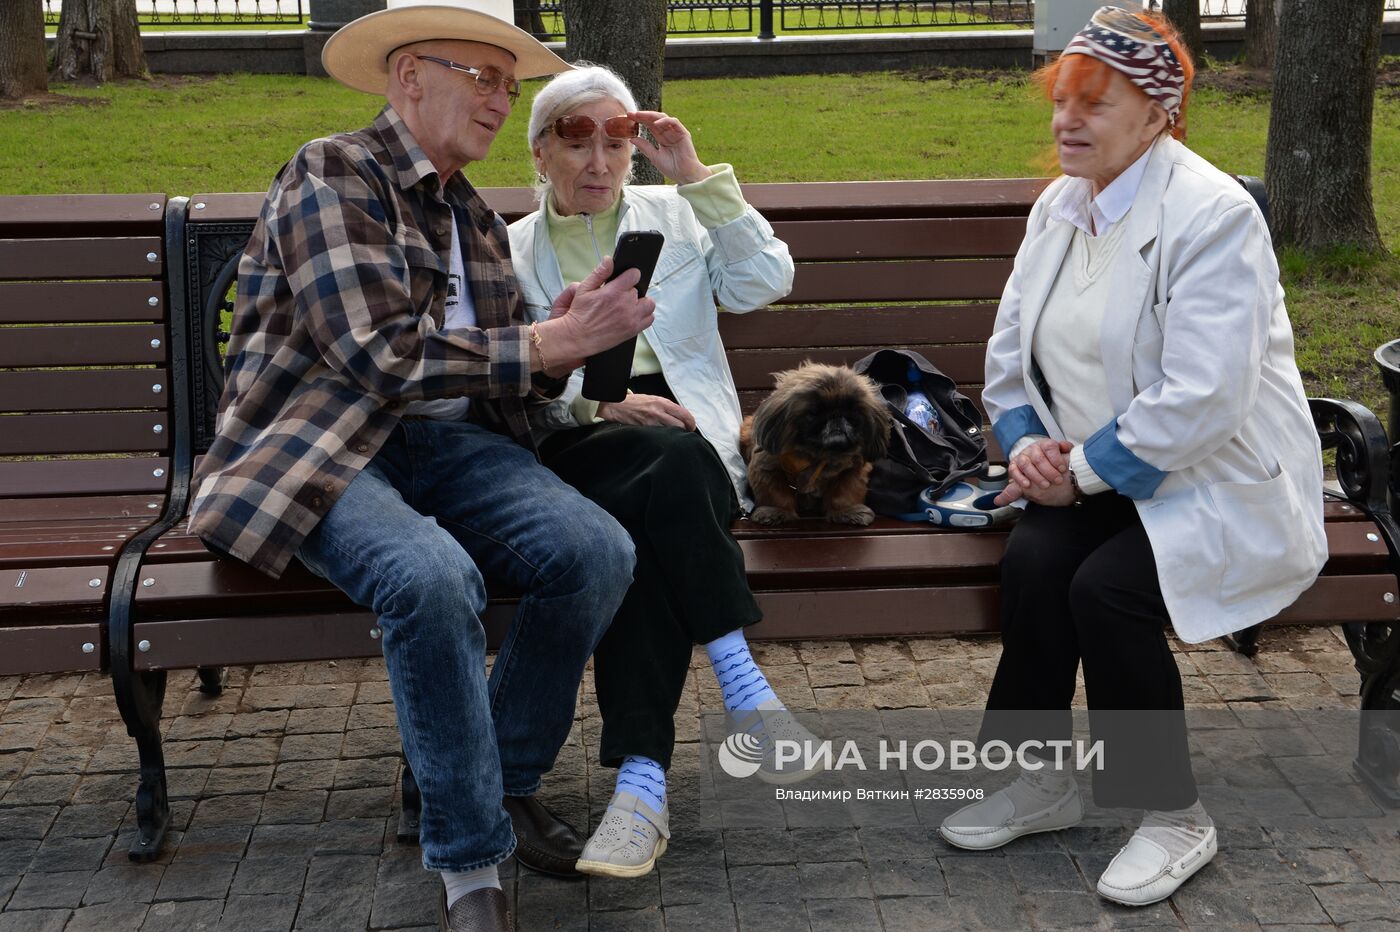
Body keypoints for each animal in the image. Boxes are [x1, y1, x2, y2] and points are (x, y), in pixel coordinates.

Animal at [739, 361, 890, 523]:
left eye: (853, 412)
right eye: (813, 413)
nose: (836, 415)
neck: (818, 456)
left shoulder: (853, 471)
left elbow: (843, 494)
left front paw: (847, 511)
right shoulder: (766, 469)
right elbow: (777, 495)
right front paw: (775, 511)